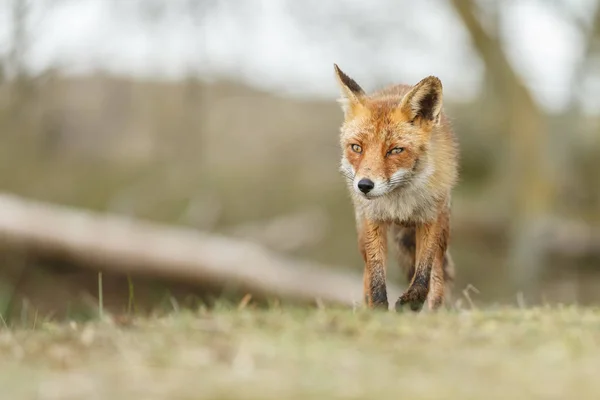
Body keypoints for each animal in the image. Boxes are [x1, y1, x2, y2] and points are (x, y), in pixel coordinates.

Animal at [332, 63, 460, 312]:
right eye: (356, 147)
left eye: (395, 150)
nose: (364, 186)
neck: (398, 203)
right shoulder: (373, 219)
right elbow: (376, 275)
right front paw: (379, 308)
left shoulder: (430, 217)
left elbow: (423, 274)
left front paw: (412, 302)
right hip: (362, 232)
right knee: (366, 272)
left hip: (442, 229)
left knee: (437, 274)